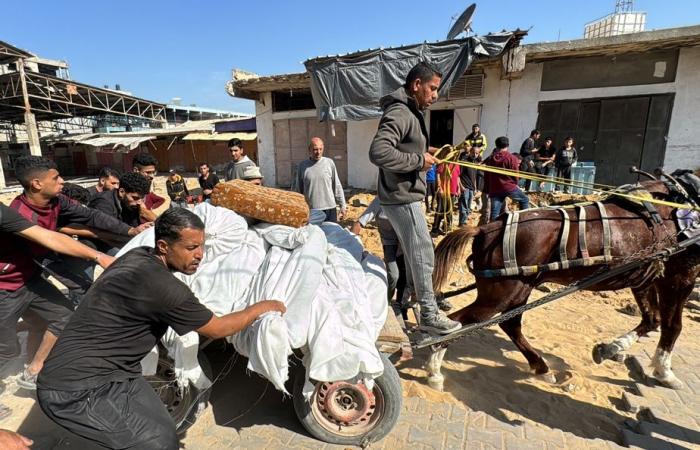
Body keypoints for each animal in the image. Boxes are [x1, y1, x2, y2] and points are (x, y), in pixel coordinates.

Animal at [426, 179, 700, 390]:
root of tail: (487, 228)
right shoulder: (680, 278)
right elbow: (672, 326)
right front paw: (664, 371)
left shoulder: (646, 276)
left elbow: (652, 320)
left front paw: (611, 348)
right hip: (500, 294)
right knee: (461, 321)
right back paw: (434, 370)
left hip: (519, 290)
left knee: (509, 324)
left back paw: (541, 367)